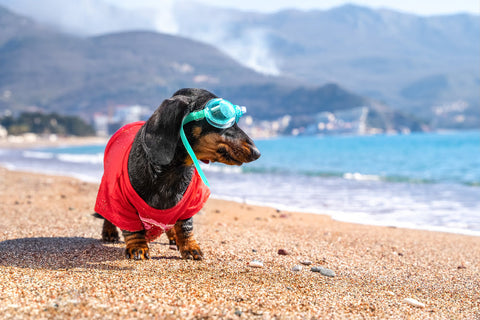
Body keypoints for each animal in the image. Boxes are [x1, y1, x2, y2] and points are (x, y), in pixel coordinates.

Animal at [93, 88, 258, 260]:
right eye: (220, 114)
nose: (257, 153)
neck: (173, 171)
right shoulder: (120, 201)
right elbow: (132, 228)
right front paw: (138, 247)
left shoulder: (189, 204)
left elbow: (185, 226)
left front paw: (190, 247)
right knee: (108, 216)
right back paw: (109, 232)